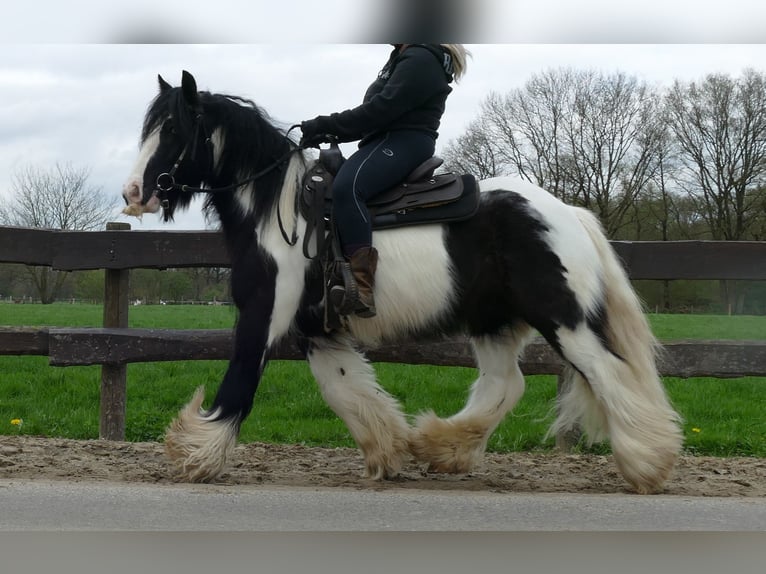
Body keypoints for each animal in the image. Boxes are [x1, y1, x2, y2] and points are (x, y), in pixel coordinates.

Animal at [124, 71, 684, 496]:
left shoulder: (263, 314)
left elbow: (239, 381)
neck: (281, 215)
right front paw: (389, 451)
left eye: (173, 130)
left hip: (564, 320)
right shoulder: (319, 331)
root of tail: (567, 213)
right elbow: (348, 391)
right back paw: (440, 446)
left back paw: (647, 463)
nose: (134, 193)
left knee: (609, 374)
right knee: (506, 384)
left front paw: (197, 454)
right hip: (494, 321)